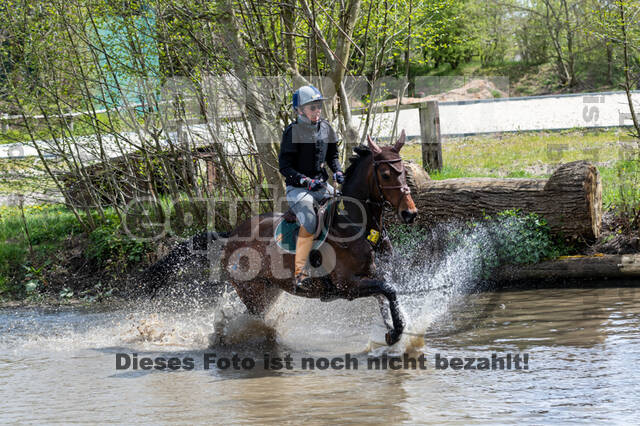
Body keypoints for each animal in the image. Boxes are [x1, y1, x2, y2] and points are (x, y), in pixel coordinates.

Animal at [142, 130, 418, 346]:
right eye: (385, 174)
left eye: (404, 171)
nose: (410, 214)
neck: (354, 224)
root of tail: (230, 235)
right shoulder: (348, 284)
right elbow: (389, 290)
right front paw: (396, 333)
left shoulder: (372, 274)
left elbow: (385, 295)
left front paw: (393, 331)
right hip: (252, 292)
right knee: (252, 319)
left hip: (269, 289)